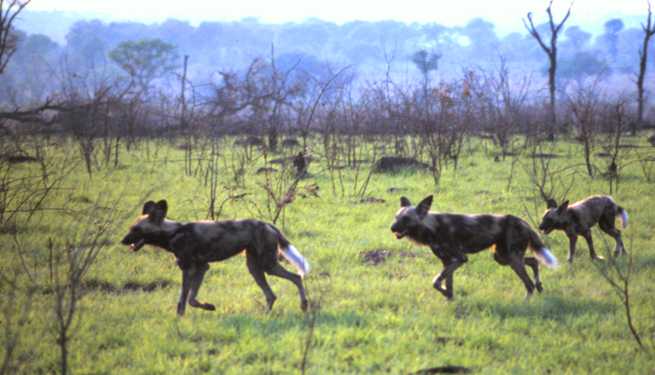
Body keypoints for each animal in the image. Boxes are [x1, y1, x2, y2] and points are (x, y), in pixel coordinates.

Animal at [120, 201, 310, 316]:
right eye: (130, 228)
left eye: (136, 229)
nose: (122, 241)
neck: (174, 233)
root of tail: (267, 224)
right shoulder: (201, 267)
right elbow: (188, 299)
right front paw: (195, 312)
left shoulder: (192, 268)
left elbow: (186, 299)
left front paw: (191, 314)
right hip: (255, 267)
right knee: (272, 294)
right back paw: (265, 314)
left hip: (267, 265)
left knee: (296, 277)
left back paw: (303, 305)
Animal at [390, 197, 560, 300]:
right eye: (396, 217)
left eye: (406, 219)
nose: (392, 228)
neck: (432, 227)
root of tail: (523, 221)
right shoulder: (448, 262)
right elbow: (446, 283)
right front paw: (450, 298)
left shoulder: (460, 258)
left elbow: (436, 282)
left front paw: (446, 294)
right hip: (503, 257)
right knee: (533, 262)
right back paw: (539, 286)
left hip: (511, 258)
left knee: (529, 284)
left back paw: (526, 302)